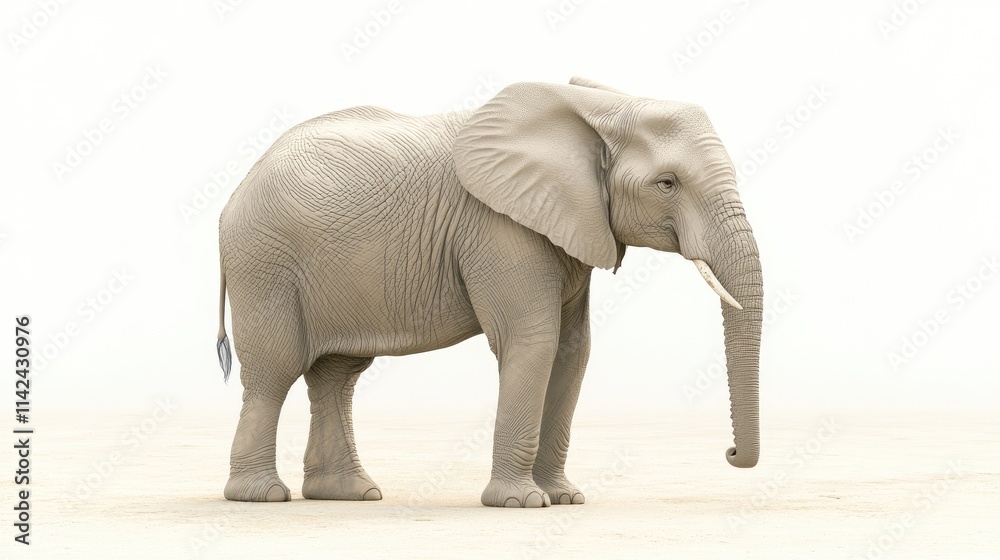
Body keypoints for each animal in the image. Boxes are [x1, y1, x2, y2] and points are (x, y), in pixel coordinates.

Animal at [214, 76, 762, 507]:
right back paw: (262, 496)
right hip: (264, 263)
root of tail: (232, 198)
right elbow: (532, 342)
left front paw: (564, 499)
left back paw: (350, 494)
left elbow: (572, 351)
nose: (732, 453)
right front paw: (522, 503)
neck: (593, 109)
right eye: (667, 183)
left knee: (337, 375)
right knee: (275, 371)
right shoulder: (499, 226)